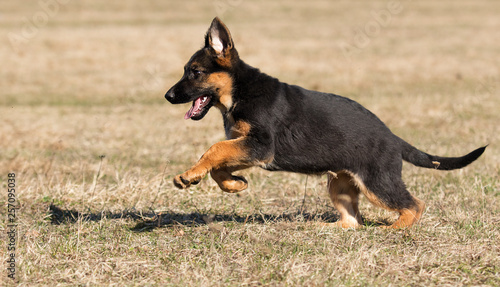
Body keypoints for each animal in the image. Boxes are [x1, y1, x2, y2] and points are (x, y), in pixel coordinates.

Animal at [166, 18, 486, 230]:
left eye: (195, 72)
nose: (168, 96)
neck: (239, 91)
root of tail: (392, 136)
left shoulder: (260, 145)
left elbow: (214, 149)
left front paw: (189, 175)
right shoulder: (247, 147)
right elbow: (217, 163)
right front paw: (233, 184)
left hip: (377, 183)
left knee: (413, 204)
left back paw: (395, 230)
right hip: (341, 184)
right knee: (353, 221)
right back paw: (325, 229)